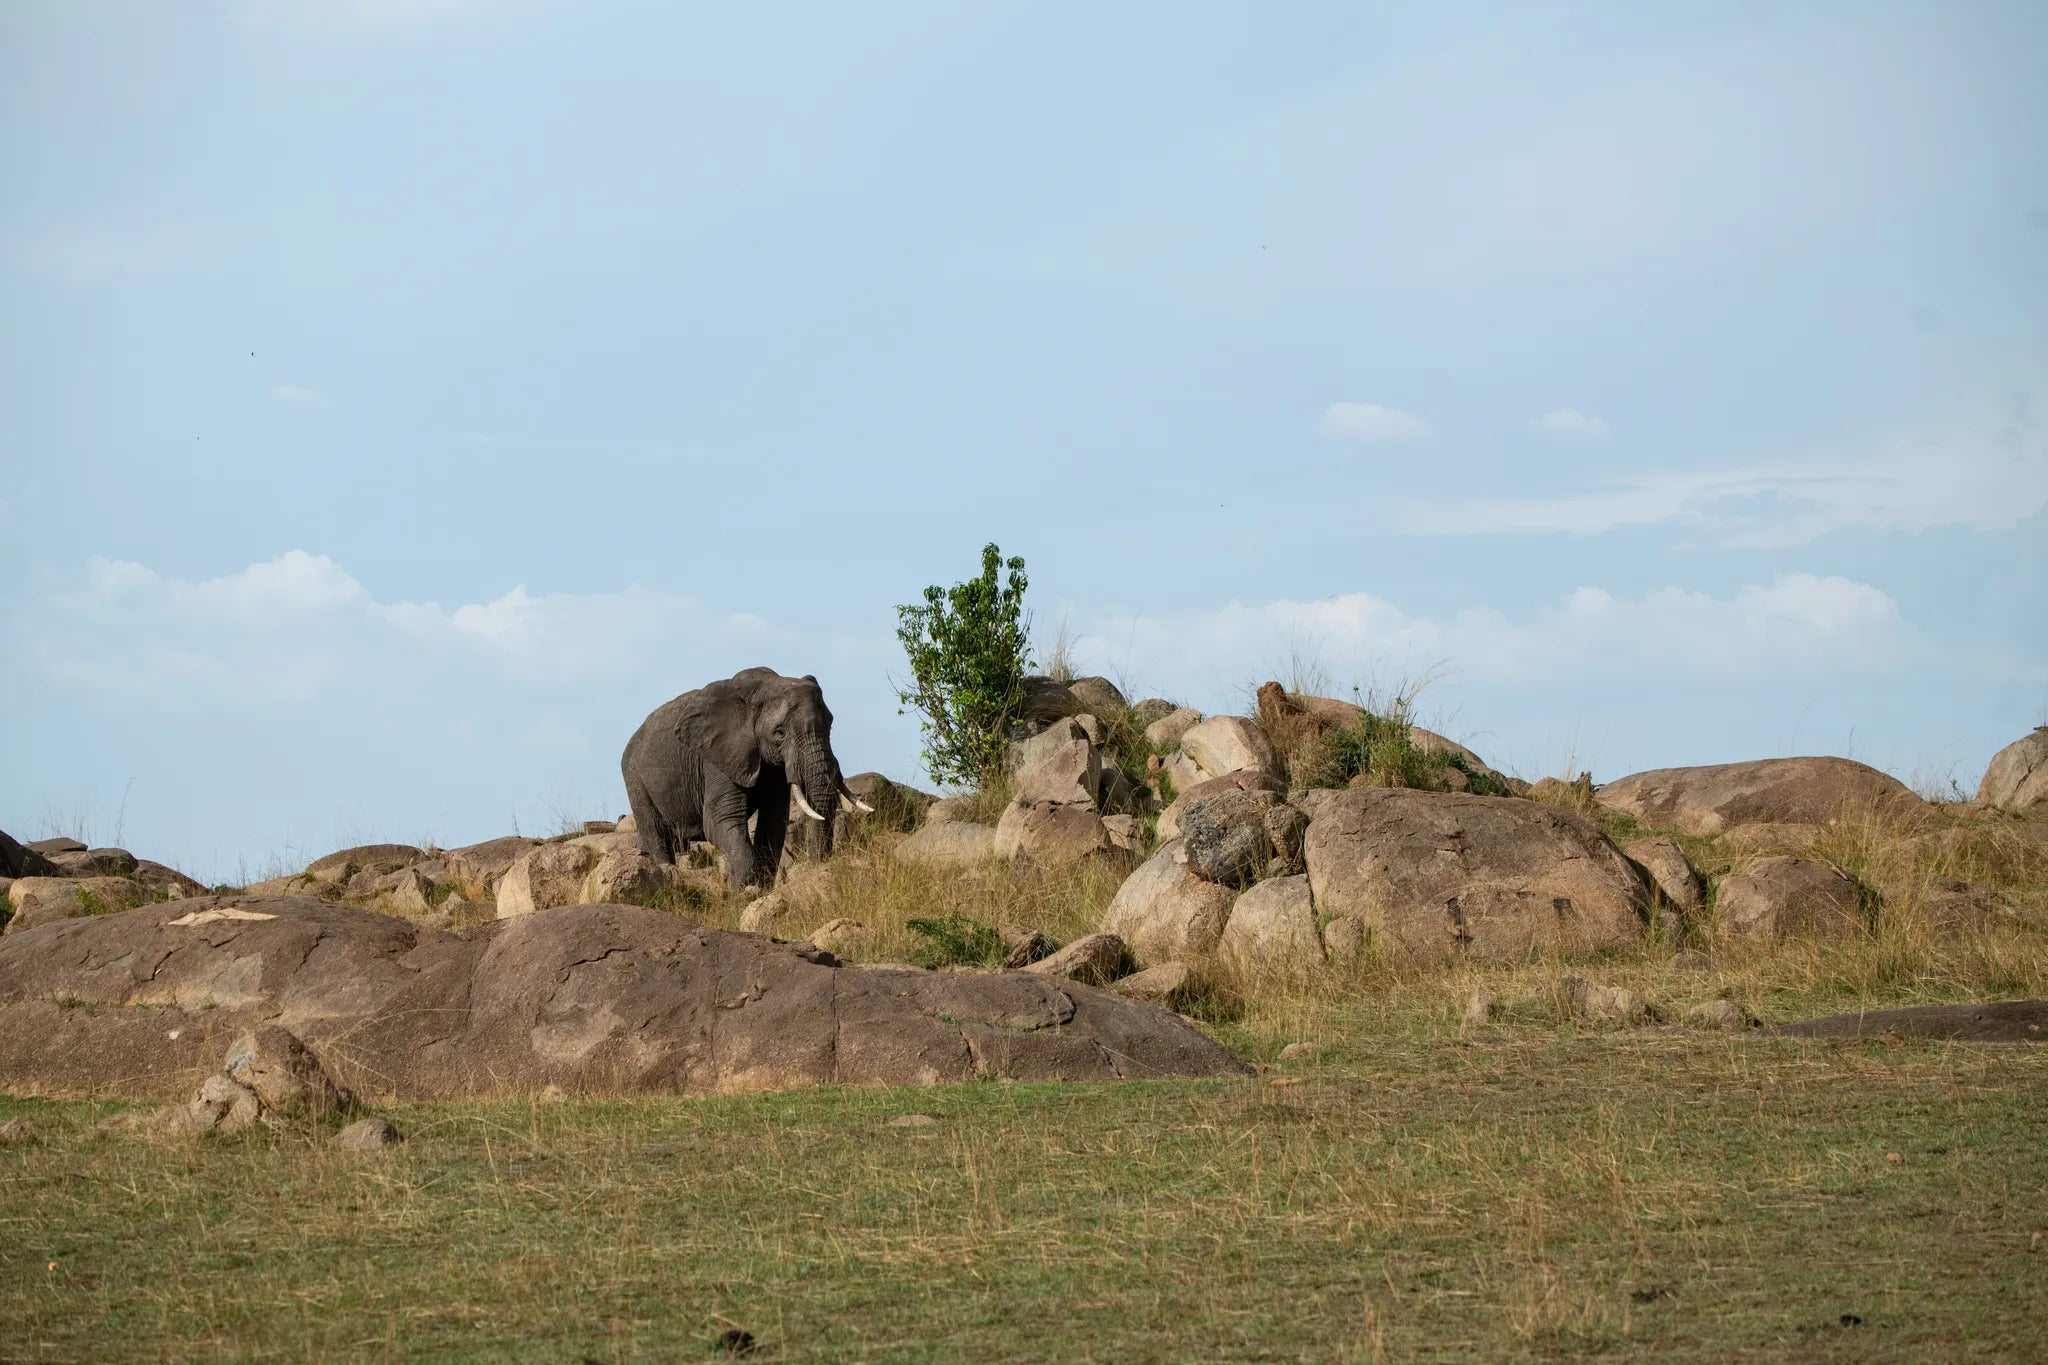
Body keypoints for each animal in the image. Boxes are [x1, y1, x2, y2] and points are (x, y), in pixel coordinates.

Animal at [621, 667, 871, 889]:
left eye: (830, 724)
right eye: (779, 733)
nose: (818, 868)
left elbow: (773, 821)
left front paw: (757, 888)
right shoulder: (719, 757)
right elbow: (719, 820)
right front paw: (745, 891)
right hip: (635, 779)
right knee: (656, 833)